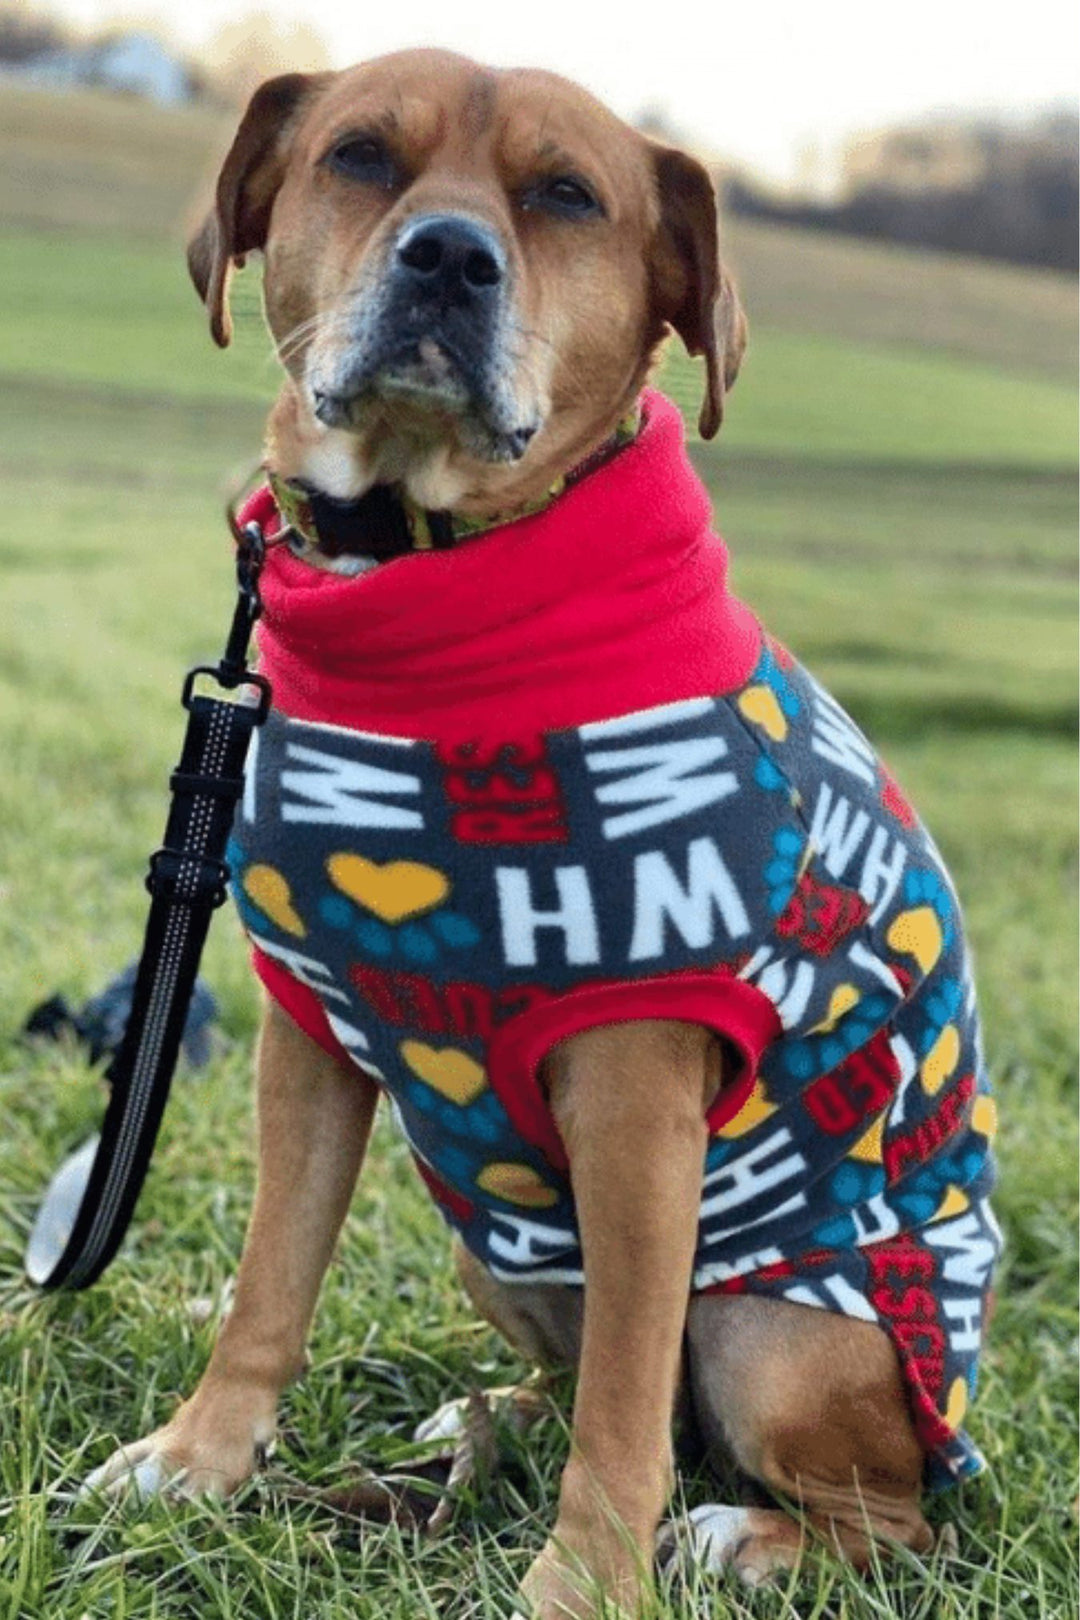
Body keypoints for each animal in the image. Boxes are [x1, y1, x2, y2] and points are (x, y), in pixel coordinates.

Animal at [84, 50, 990, 1620]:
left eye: (569, 196)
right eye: (359, 156)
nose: (450, 257)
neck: (434, 573)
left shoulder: (633, 1103)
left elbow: (626, 1404)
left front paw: (586, 1581)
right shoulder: (307, 1033)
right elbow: (272, 1277)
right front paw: (200, 1458)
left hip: (779, 1334)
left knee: (873, 1513)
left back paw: (745, 1536)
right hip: (491, 1239)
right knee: (600, 1394)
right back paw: (485, 1423)